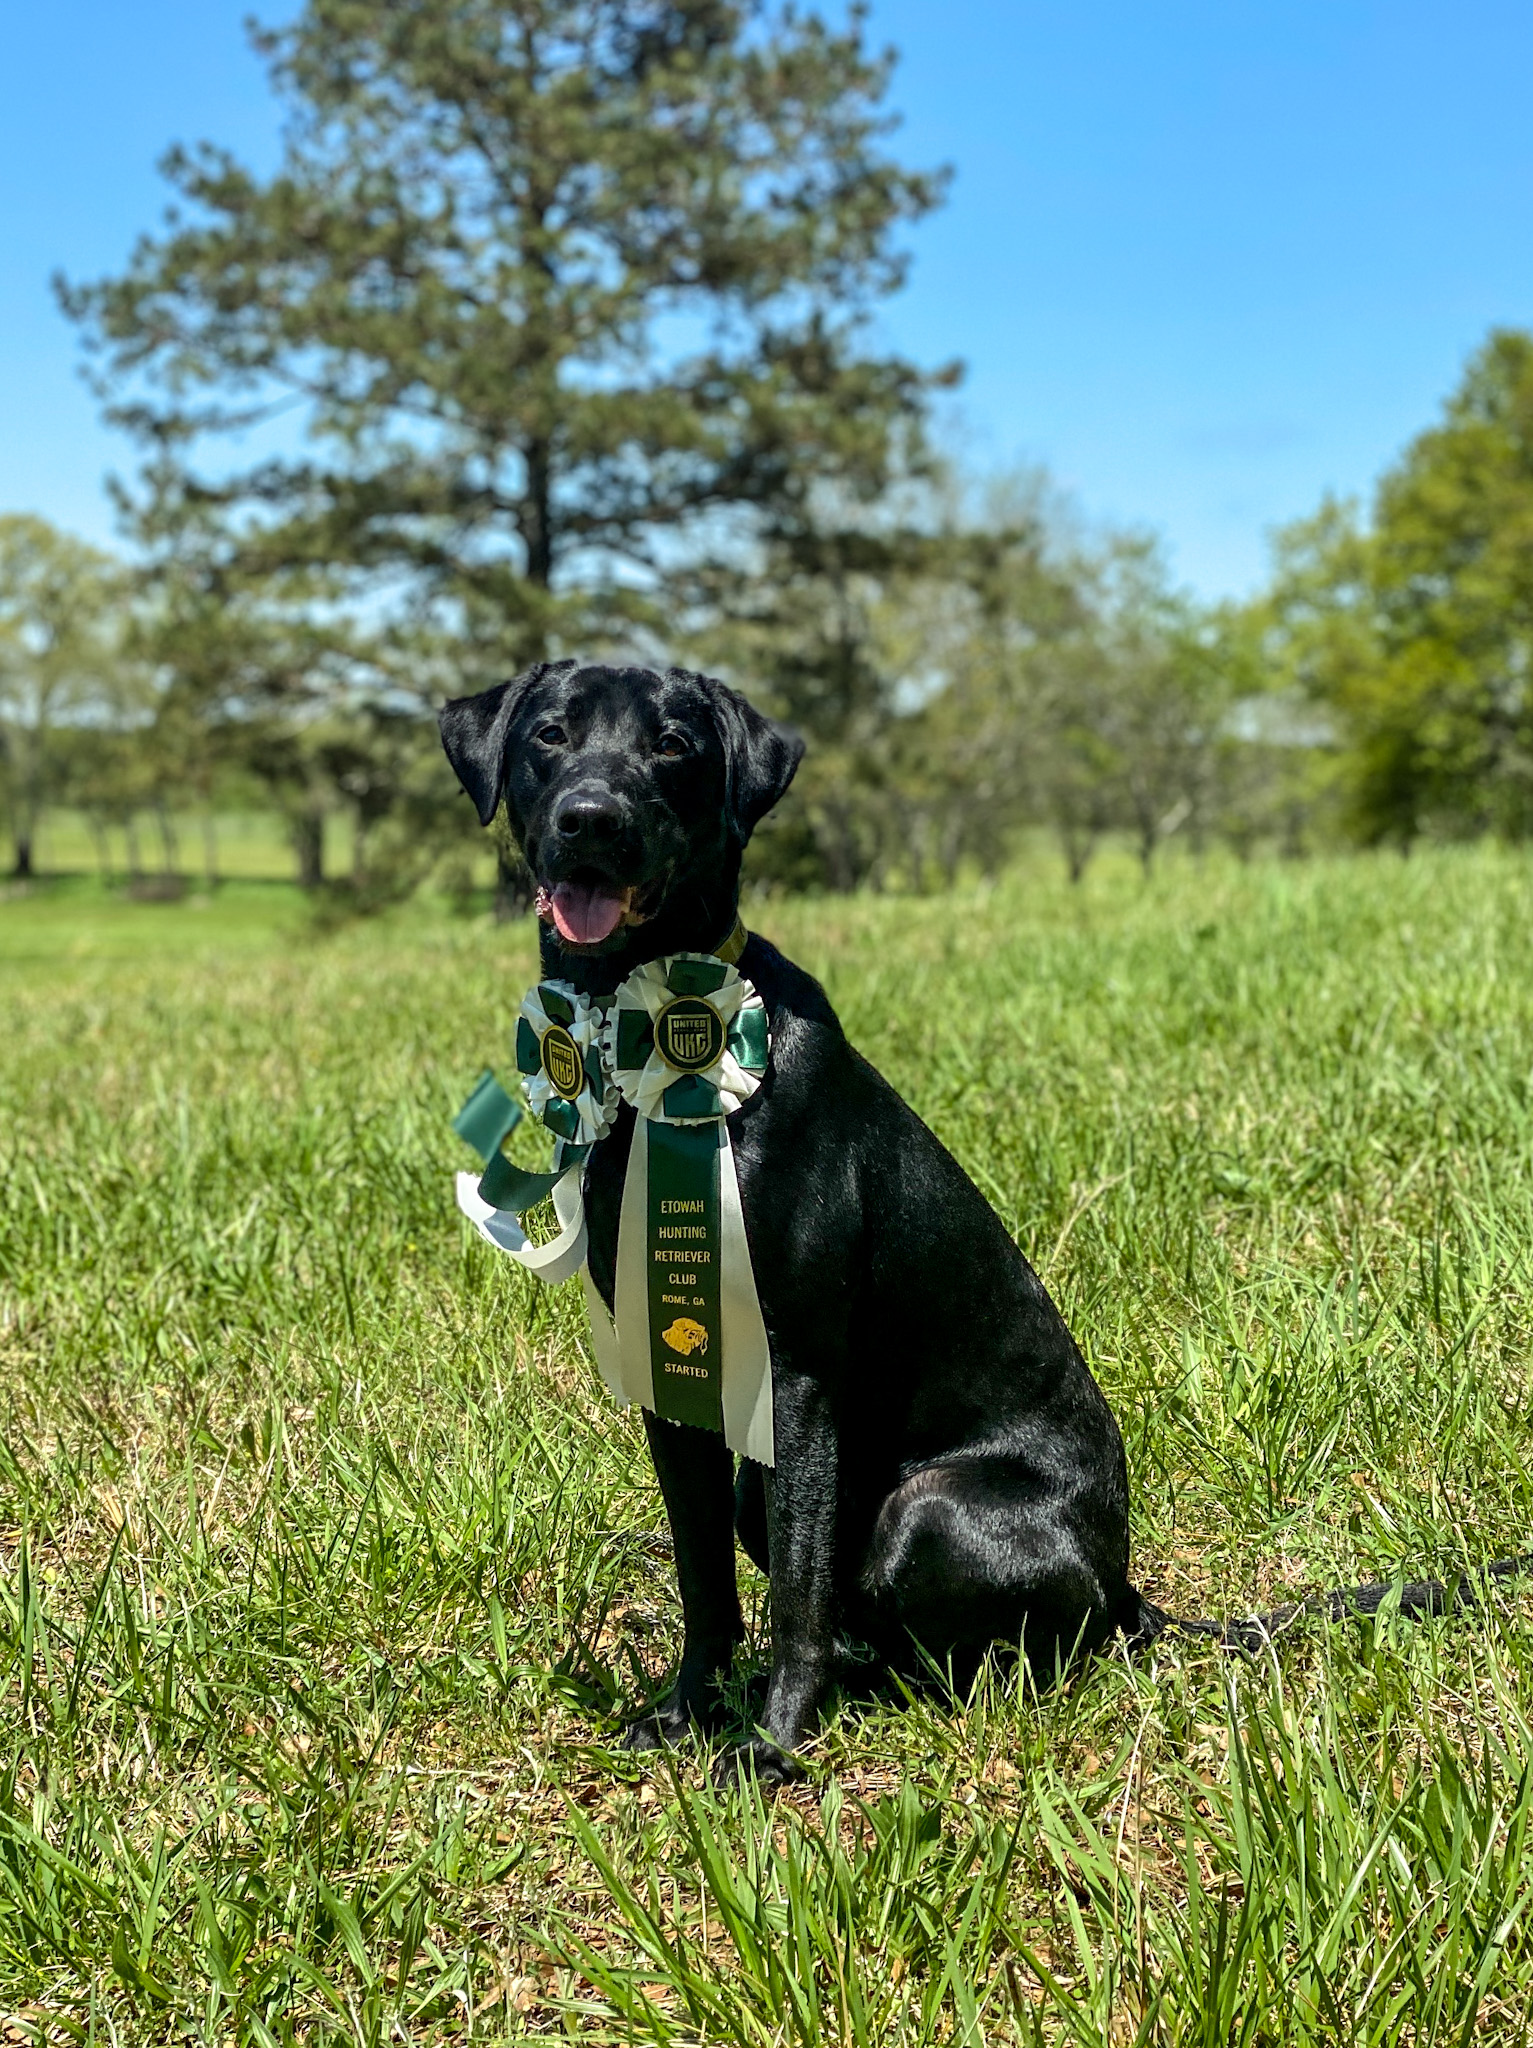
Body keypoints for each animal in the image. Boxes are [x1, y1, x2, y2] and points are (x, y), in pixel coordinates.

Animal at [442, 663, 1162, 1785]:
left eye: (673, 744)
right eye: (549, 735)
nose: (590, 817)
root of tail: (1128, 1589)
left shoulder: (802, 1377)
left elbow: (794, 1595)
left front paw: (772, 1743)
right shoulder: (674, 1380)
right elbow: (704, 1581)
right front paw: (685, 1711)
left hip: (932, 1505)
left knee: (961, 1653)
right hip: (765, 1481)